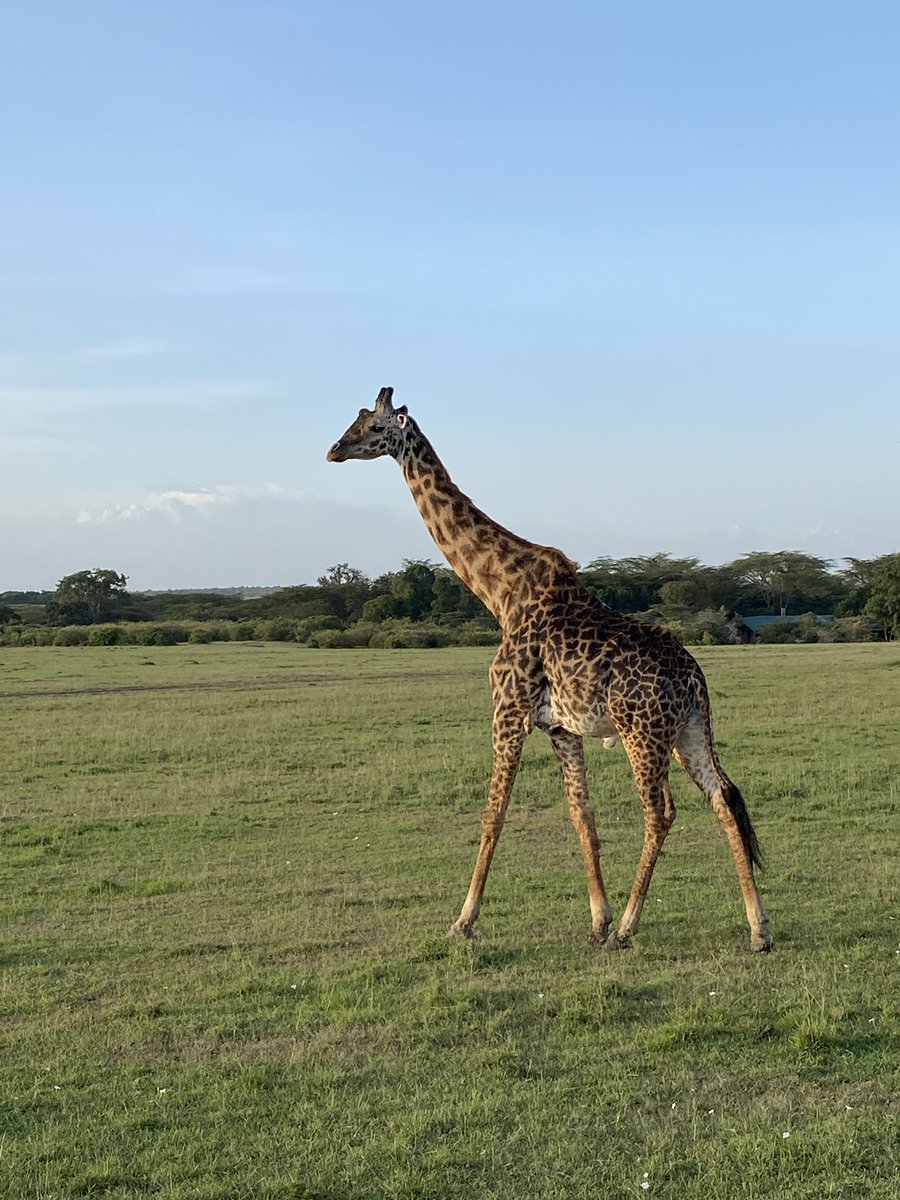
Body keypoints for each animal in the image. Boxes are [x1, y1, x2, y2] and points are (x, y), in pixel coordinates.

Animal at [327, 387, 773, 952]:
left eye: (372, 426)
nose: (333, 450)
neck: (500, 592)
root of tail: (695, 677)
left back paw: (629, 928)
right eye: (356, 419)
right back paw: (758, 929)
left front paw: (464, 920)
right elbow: (582, 814)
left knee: (661, 811)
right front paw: (597, 918)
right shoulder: (562, 727)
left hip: (642, 731)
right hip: (689, 730)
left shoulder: (508, 709)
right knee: (723, 798)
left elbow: (494, 812)